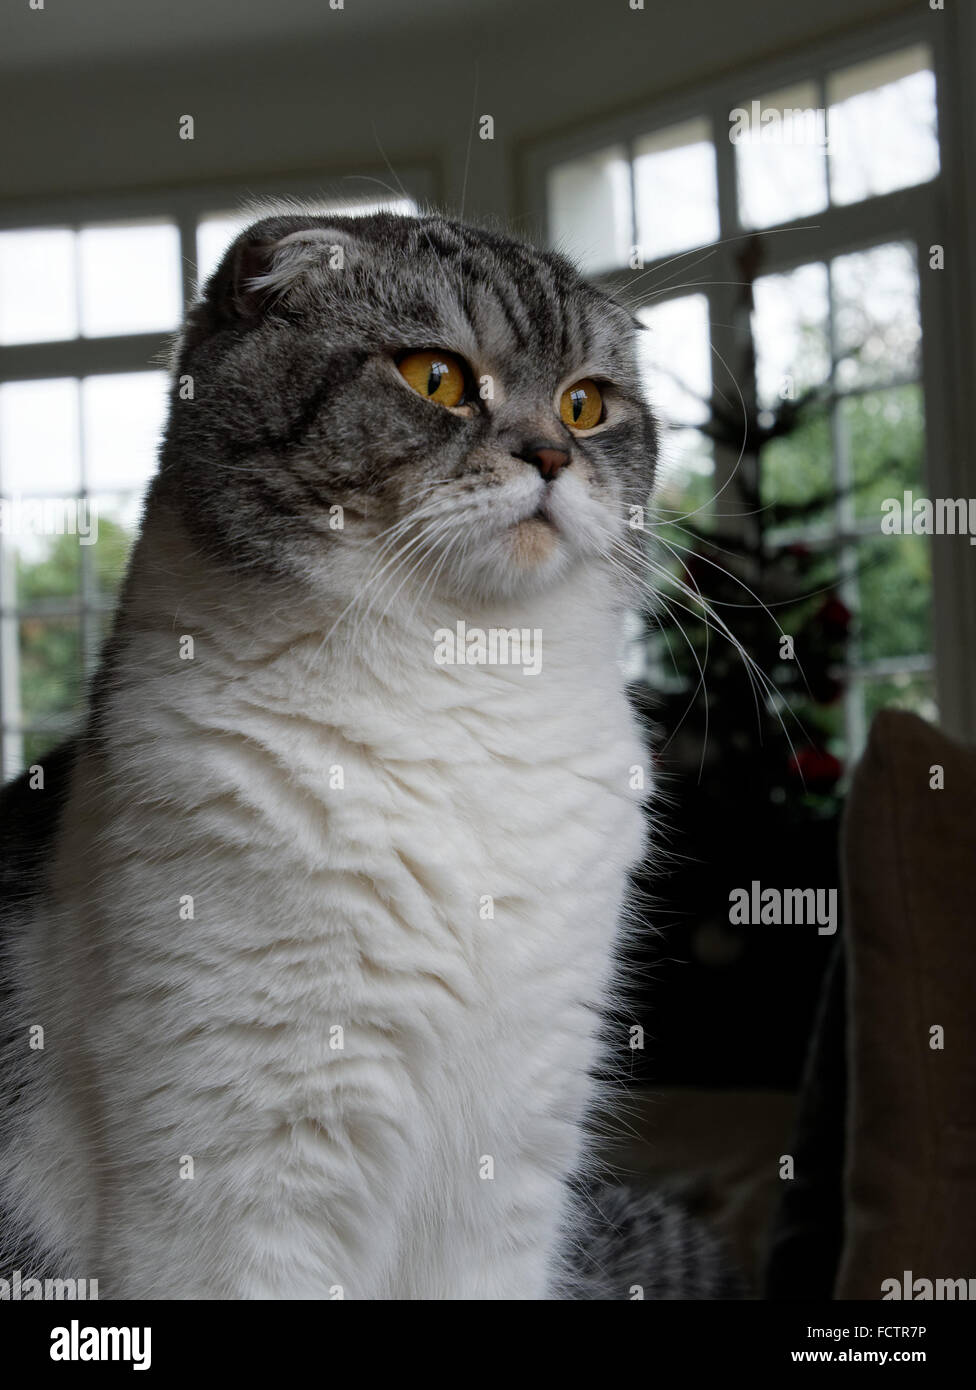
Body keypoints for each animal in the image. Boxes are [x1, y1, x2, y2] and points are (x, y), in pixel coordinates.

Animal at [0, 211, 734, 1295]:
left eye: (587, 402)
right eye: (435, 377)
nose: (553, 454)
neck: (465, 703)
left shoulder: (511, 1173)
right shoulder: (243, 1180)